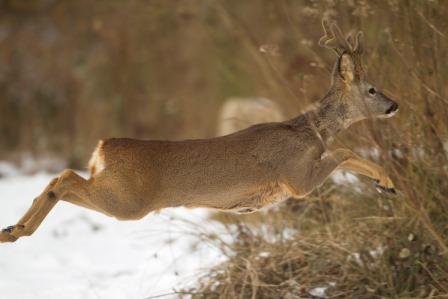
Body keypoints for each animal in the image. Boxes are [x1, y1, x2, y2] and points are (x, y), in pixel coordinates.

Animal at [0, 21, 400, 246]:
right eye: (372, 89)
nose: (395, 105)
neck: (310, 131)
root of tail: (103, 148)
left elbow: (345, 156)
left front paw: (384, 184)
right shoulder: (296, 177)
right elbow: (345, 153)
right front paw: (387, 181)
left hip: (118, 195)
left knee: (61, 179)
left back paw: (13, 230)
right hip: (127, 201)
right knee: (64, 177)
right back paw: (16, 231)